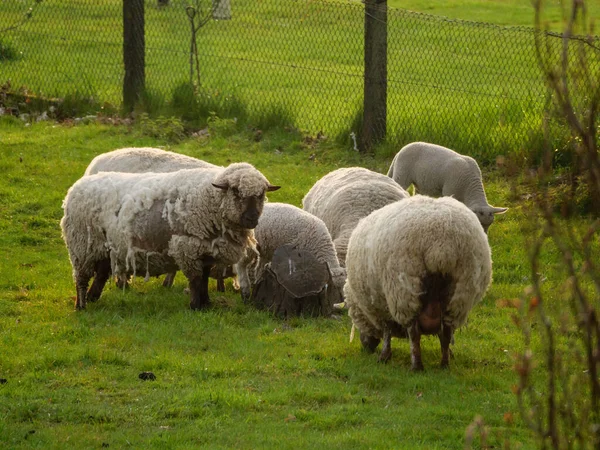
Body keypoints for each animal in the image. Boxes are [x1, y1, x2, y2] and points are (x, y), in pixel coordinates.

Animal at [59, 163, 280, 312]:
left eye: (261, 194)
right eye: (235, 191)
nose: (252, 218)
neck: (211, 200)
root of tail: (75, 187)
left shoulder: (205, 251)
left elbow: (204, 278)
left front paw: (206, 303)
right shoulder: (187, 248)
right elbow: (195, 279)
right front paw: (196, 306)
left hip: (106, 247)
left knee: (101, 274)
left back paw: (93, 297)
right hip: (82, 245)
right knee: (81, 277)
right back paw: (82, 305)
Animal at [344, 195, 490, 370]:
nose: (366, 347)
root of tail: (441, 246)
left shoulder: (382, 304)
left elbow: (387, 331)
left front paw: (384, 356)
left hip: (405, 288)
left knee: (414, 333)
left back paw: (416, 366)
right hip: (460, 292)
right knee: (446, 331)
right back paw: (444, 364)